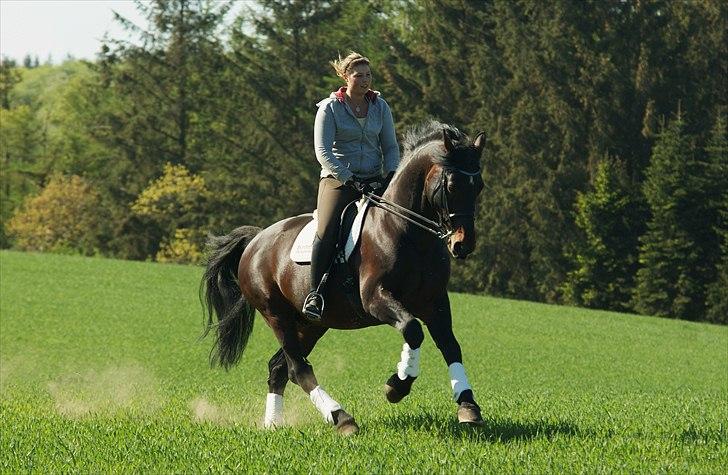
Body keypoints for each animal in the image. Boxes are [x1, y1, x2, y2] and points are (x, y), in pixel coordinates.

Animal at [202, 120, 486, 436]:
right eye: (451, 186)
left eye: (479, 186)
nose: (463, 244)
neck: (409, 233)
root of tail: (256, 240)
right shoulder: (375, 298)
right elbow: (413, 330)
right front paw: (397, 385)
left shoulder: (434, 301)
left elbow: (449, 345)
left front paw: (468, 406)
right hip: (276, 315)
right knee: (297, 368)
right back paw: (342, 418)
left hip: (311, 324)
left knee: (278, 368)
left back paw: (273, 425)